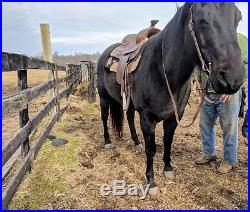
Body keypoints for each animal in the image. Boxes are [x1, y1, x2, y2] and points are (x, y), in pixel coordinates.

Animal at [96, 2, 245, 193]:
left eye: (238, 18)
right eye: (201, 20)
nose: (233, 79)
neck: (162, 69)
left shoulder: (174, 117)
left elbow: (168, 142)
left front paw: (168, 168)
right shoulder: (147, 118)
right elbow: (151, 149)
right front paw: (151, 181)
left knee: (128, 118)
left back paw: (136, 143)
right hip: (103, 96)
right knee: (104, 117)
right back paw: (107, 141)